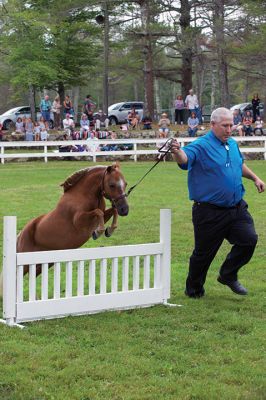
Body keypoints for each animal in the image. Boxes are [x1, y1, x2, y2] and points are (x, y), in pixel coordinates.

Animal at [0, 164, 129, 292]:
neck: (84, 195)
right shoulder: (79, 221)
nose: (125, 210)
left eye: (125, 183)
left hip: (43, 264)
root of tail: (20, 234)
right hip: (26, 262)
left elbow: (112, 211)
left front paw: (110, 230)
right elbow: (98, 212)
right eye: (112, 185)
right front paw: (98, 232)